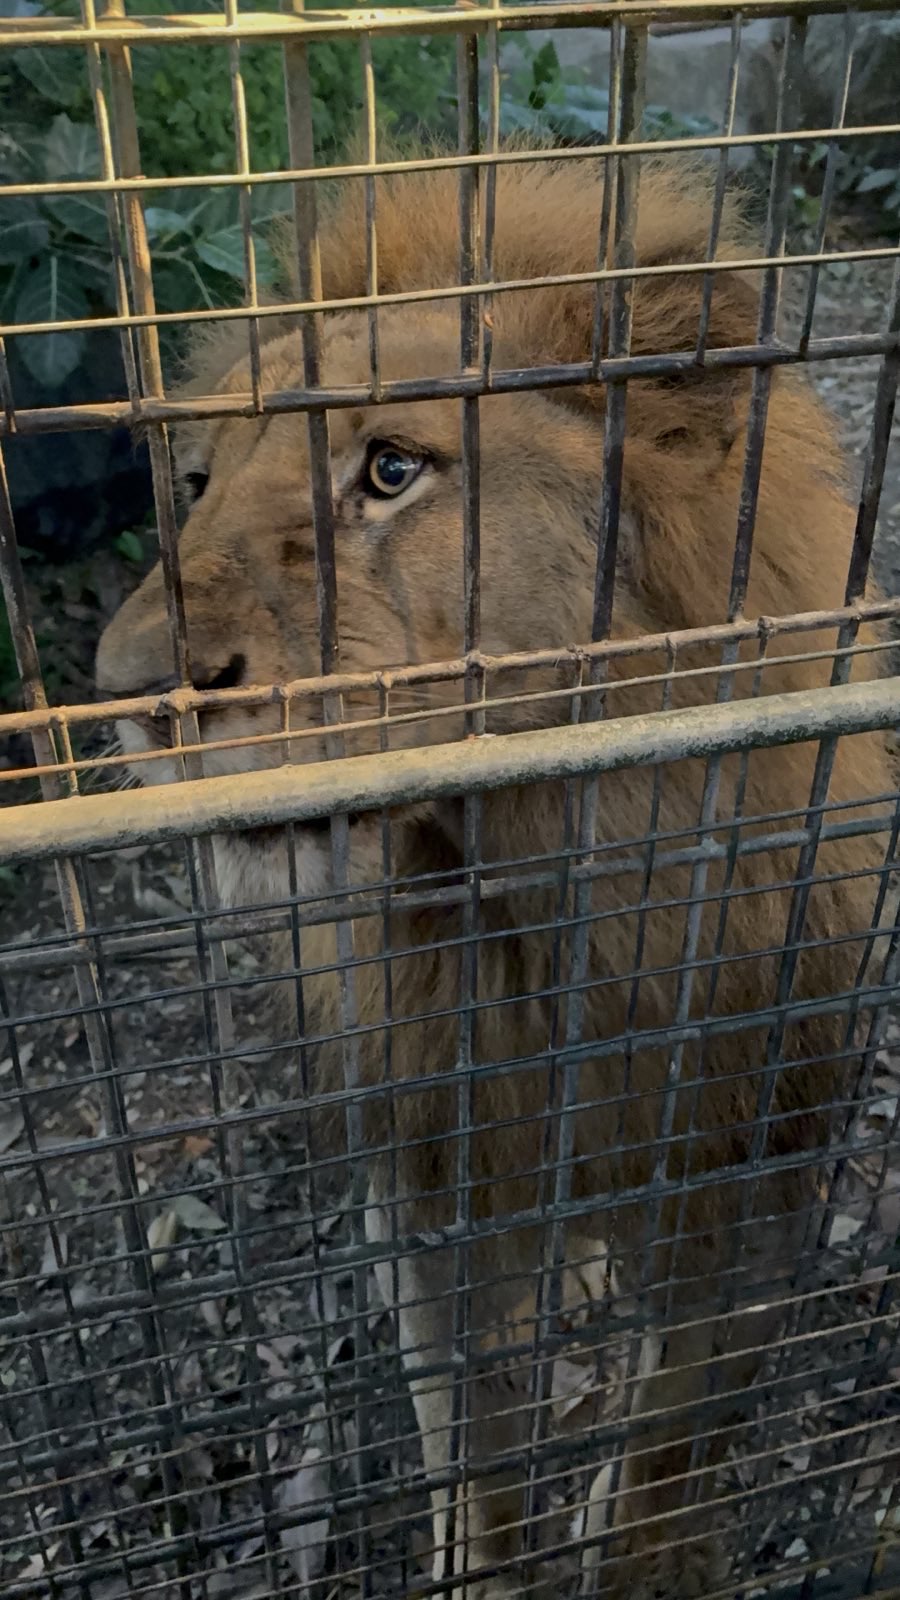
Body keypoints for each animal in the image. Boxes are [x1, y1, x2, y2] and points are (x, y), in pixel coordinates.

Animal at [96, 155, 897, 1598]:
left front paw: (652, 1558)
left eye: (391, 468)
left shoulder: (750, 1171)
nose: (123, 697)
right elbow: (474, 1447)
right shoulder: (432, 1189)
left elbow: (678, 1432)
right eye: (193, 483)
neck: (538, 886)